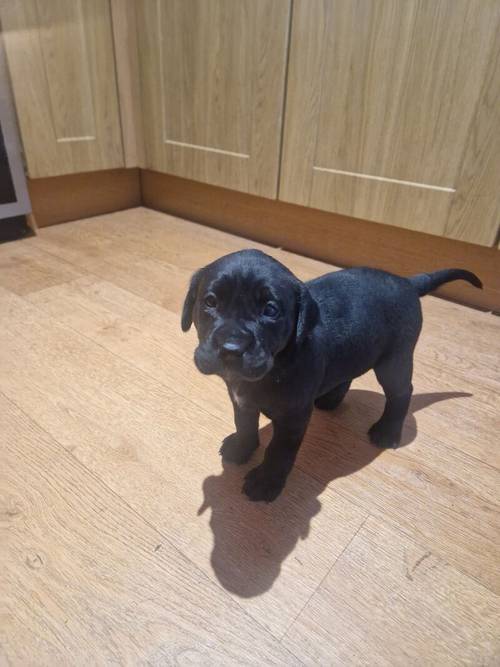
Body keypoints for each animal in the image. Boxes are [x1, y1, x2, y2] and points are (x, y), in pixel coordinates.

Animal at [182, 250, 482, 500]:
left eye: (270, 310)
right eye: (210, 302)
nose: (231, 349)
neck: (278, 362)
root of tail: (408, 282)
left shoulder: (293, 419)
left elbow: (279, 451)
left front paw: (266, 482)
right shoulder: (241, 400)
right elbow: (244, 424)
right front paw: (242, 448)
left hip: (394, 361)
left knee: (401, 392)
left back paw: (387, 431)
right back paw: (330, 399)